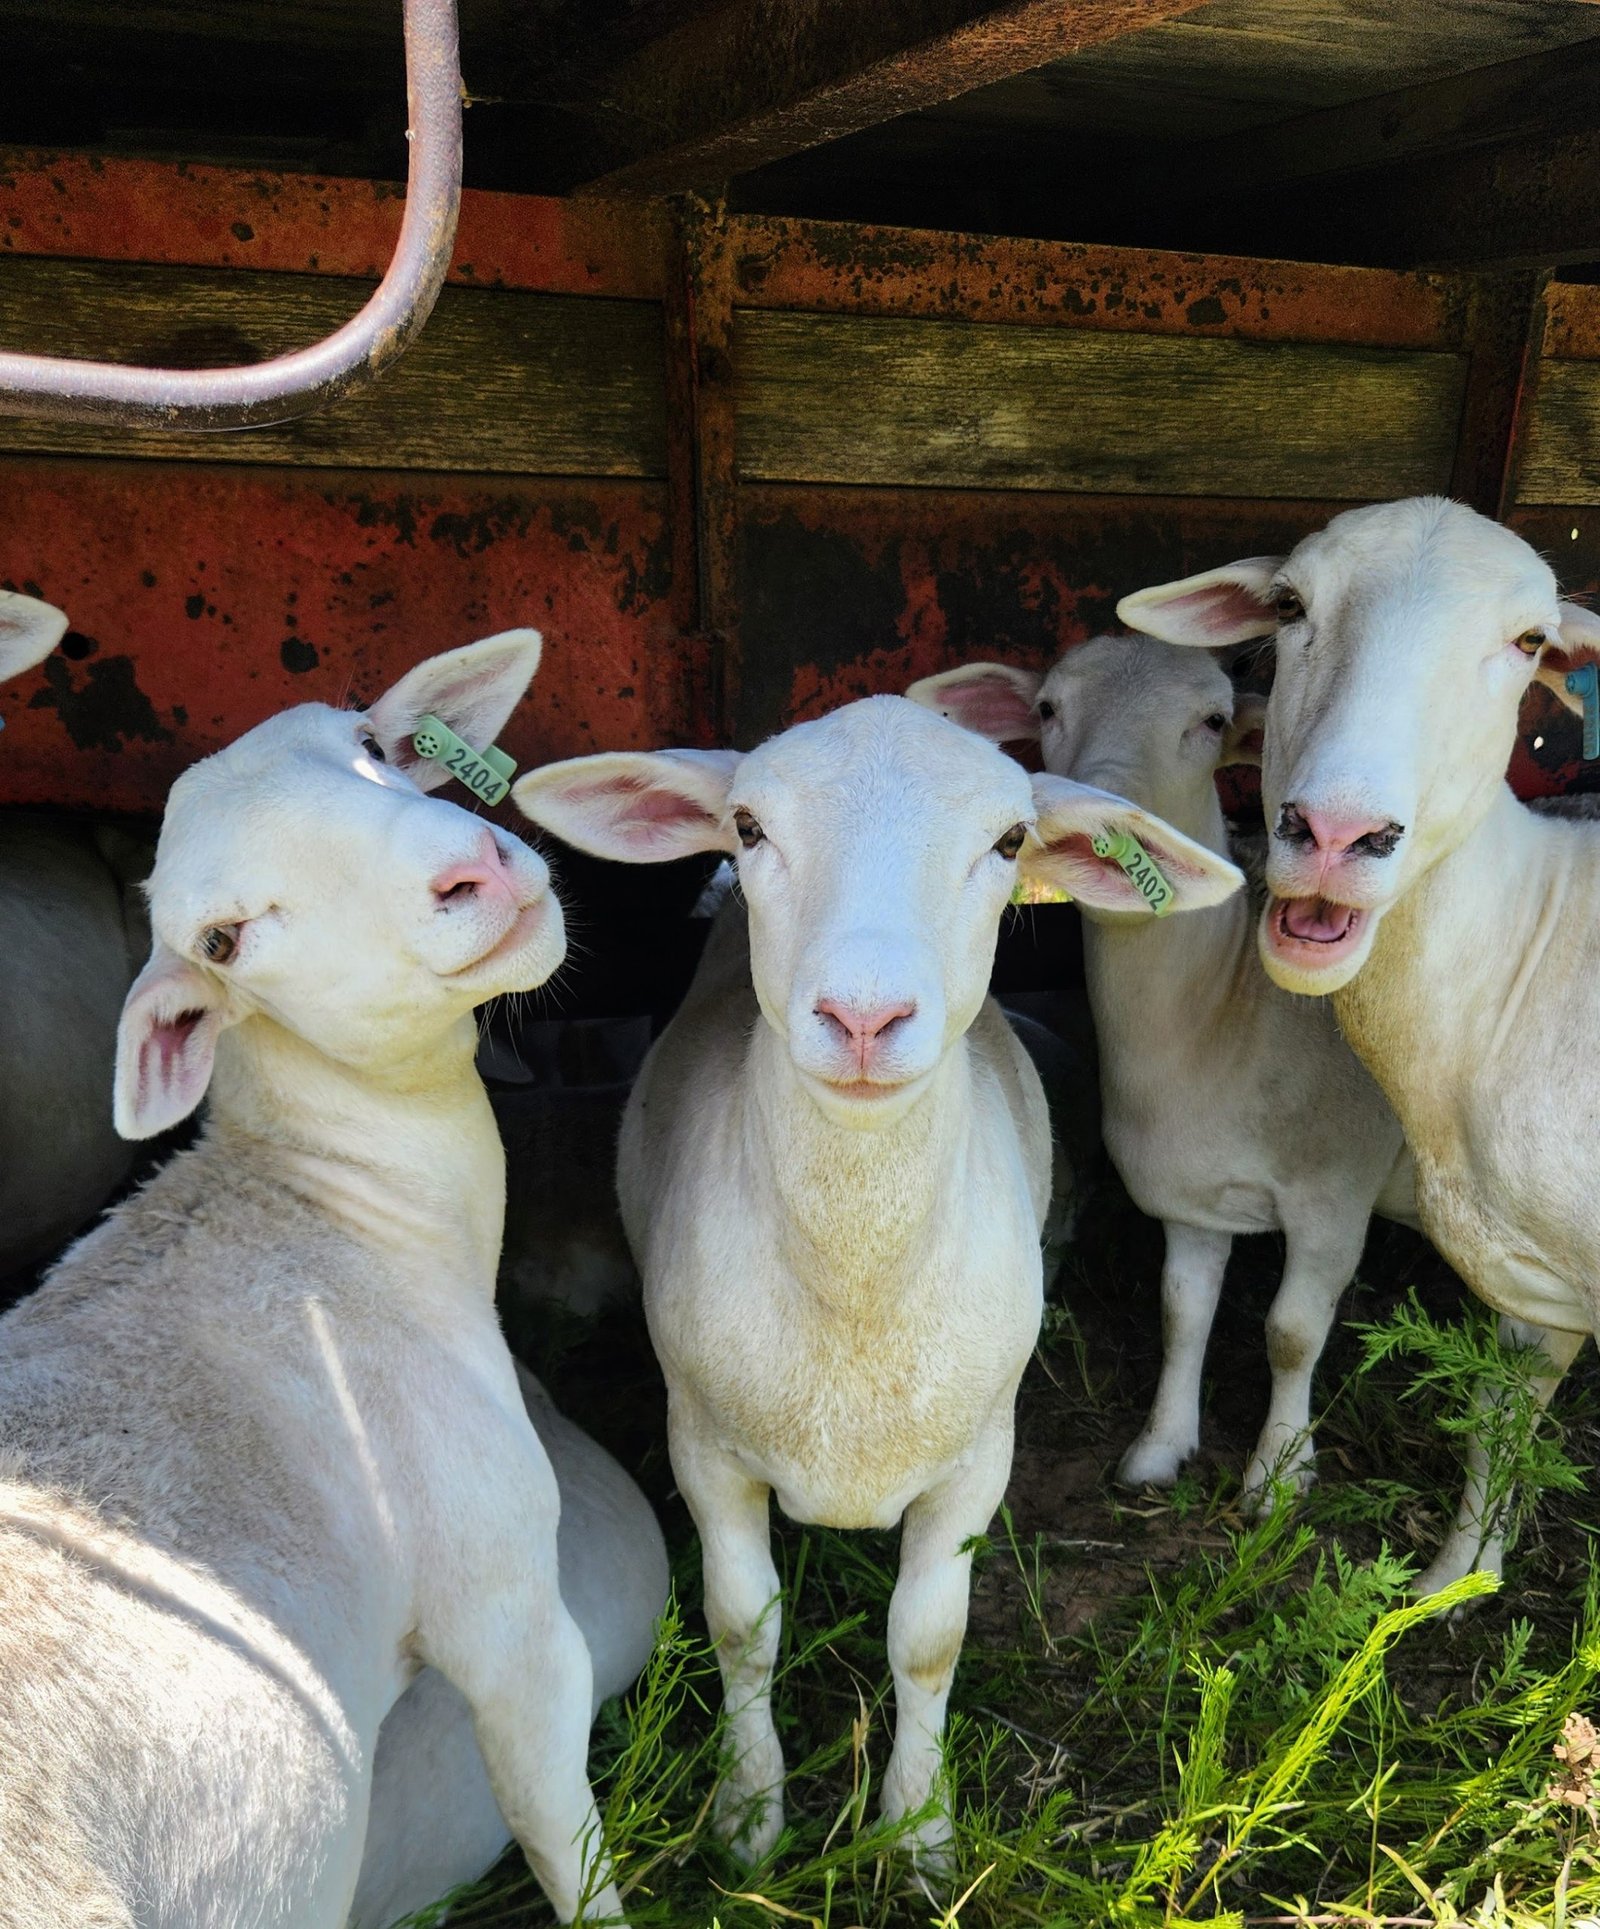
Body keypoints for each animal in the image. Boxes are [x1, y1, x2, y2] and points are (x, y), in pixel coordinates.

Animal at [0, 630, 641, 1928]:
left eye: (374, 745)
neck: (327, 1206)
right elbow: (566, 1837)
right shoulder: (505, 1598)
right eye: (225, 940)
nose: (472, 870)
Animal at [513, 695, 1243, 1867]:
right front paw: (750, 1817)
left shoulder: (977, 1458)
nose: (863, 1018)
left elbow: (927, 1641)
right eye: (749, 826)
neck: (853, 1296)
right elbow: (744, 1628)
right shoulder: (703, 1446)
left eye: (1008, 841)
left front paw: (919, 1832)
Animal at [908, 637, 1420, 1506]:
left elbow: (1291, 1333)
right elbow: (1182, 1313)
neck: (1227, 1016)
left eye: (1212, 721)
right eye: (1047, 707)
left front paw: (1278, 1474)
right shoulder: (1190, 1196)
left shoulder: (1334, 1198)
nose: (1103, 817)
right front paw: (1161, 1444)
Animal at [1118, 496, 1600, 1593]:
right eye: (1290, 605)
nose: (1336, 836)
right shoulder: (1534, 1273)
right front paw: (1458, 1578)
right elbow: (1498, 1419)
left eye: (1530, 641)